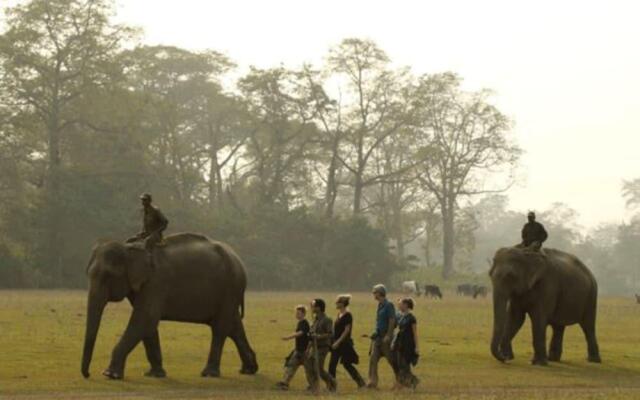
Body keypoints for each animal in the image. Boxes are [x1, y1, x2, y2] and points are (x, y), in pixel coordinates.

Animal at [80, 233, 258, 380]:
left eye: (108, 276)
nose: (88, 375)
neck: (129, 248)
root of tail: (238, 260)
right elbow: (148, 325)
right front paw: (154, 374)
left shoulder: (156, 283)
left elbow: (145, 318)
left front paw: (110, 374)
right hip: (229, 293)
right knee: (233, 326)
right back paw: (249, 369)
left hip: (230, 288)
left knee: (220, 328)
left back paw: (209, 374)